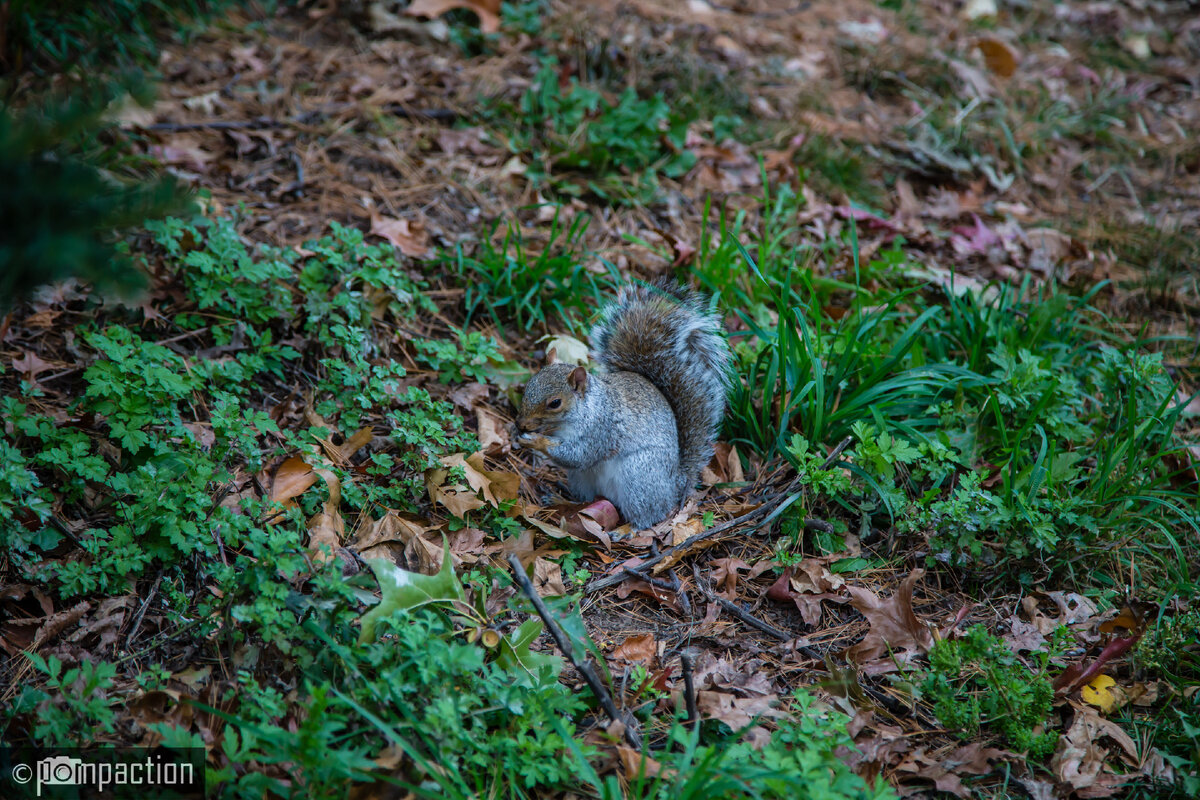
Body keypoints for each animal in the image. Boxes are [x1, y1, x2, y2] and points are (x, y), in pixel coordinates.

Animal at [511, 281, 724, 532]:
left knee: (647, 515)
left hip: (639, 477)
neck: (585, 409)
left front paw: (537, 441)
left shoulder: (602, 430)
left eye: (555, 403)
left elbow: (578, 455)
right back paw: (562, 500)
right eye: (529, 385)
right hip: (582, 479)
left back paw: (628, 530)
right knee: (586, 499)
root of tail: (675, 485)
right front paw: (518, 434)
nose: (520, 423)